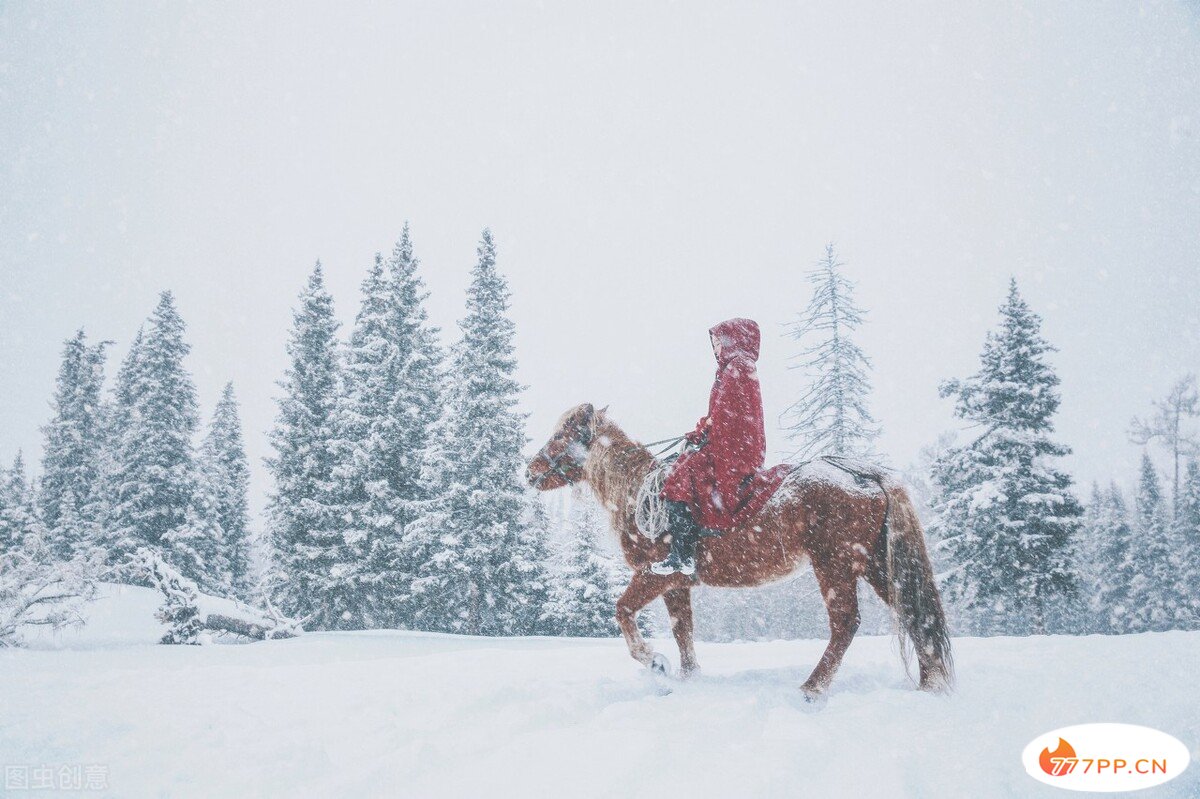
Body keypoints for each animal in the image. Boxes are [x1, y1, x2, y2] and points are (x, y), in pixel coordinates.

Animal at [530, 400, 950, 695]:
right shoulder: (677, 584)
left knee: (846, 623)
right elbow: (684, 632)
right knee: (913, 614)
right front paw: (688, 679)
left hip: (835, 565)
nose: (529, 470)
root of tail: (864, 476)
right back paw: (929, 684)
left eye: (561, 435)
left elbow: (624, 613)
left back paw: (812, 689)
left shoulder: (655, 576)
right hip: (877, 564)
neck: (639, 495)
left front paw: (655, 664)